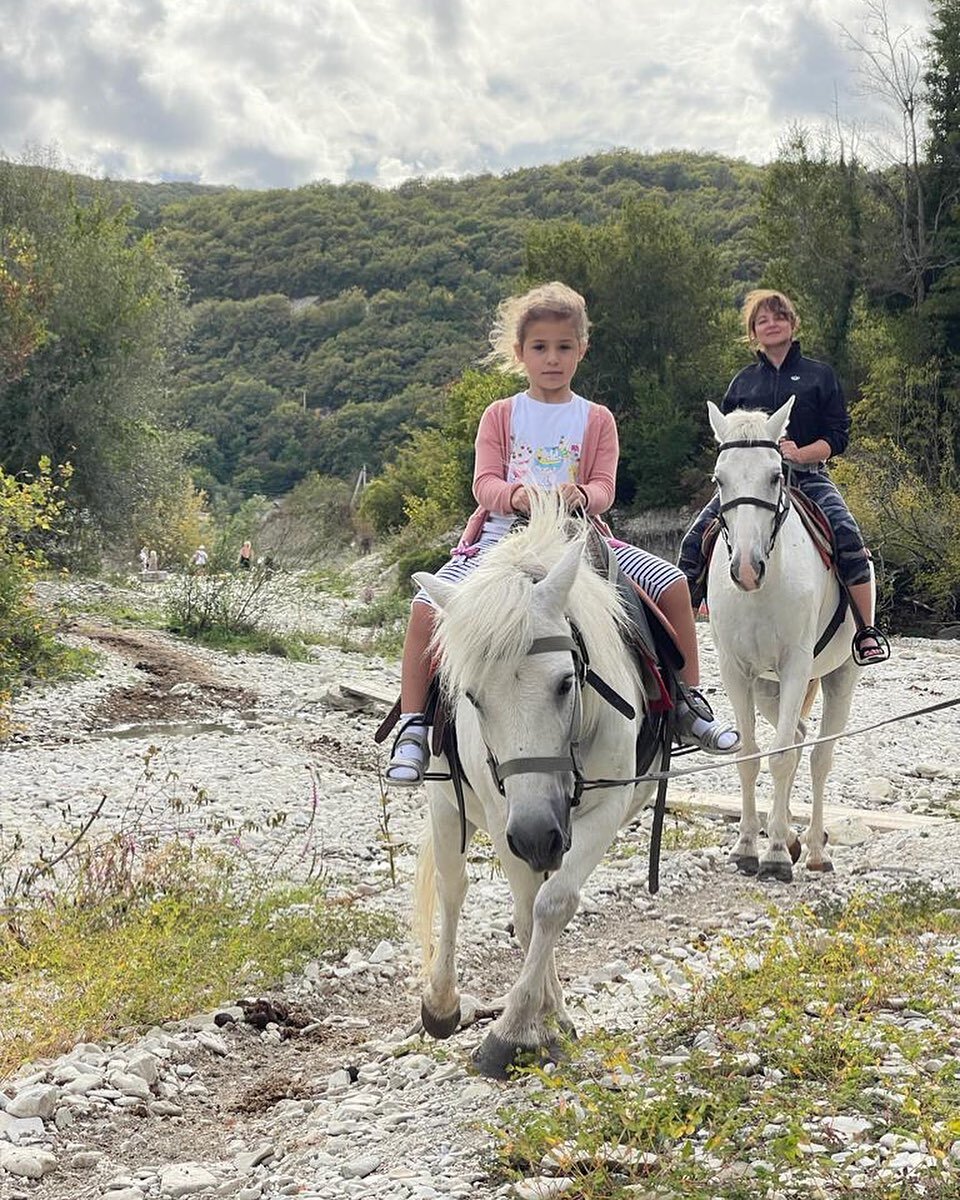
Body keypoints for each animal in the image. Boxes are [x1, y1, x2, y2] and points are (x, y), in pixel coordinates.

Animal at [412, 496, 652, 1080]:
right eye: (472, 698)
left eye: (566, 682)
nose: (537, 834)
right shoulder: (508, 819)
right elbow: (524, 913)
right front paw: (526, 1025)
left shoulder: (602, 807)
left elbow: (552, 904)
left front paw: (521, 1027)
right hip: (447, 803)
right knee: (453, 887)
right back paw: (442, 1004)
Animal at [705, 400, 864, 883]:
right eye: (719, 479)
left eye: (776, 475)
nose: (746, 569)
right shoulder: (737, 672)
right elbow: (750, 755)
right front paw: (746, 847)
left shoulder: (796, 666)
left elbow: (780, 757)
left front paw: (773, 854)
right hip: (766, 688)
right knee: (794, 736)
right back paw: (793, 838)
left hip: (839, 676)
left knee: (817, 756)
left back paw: (812, 850)